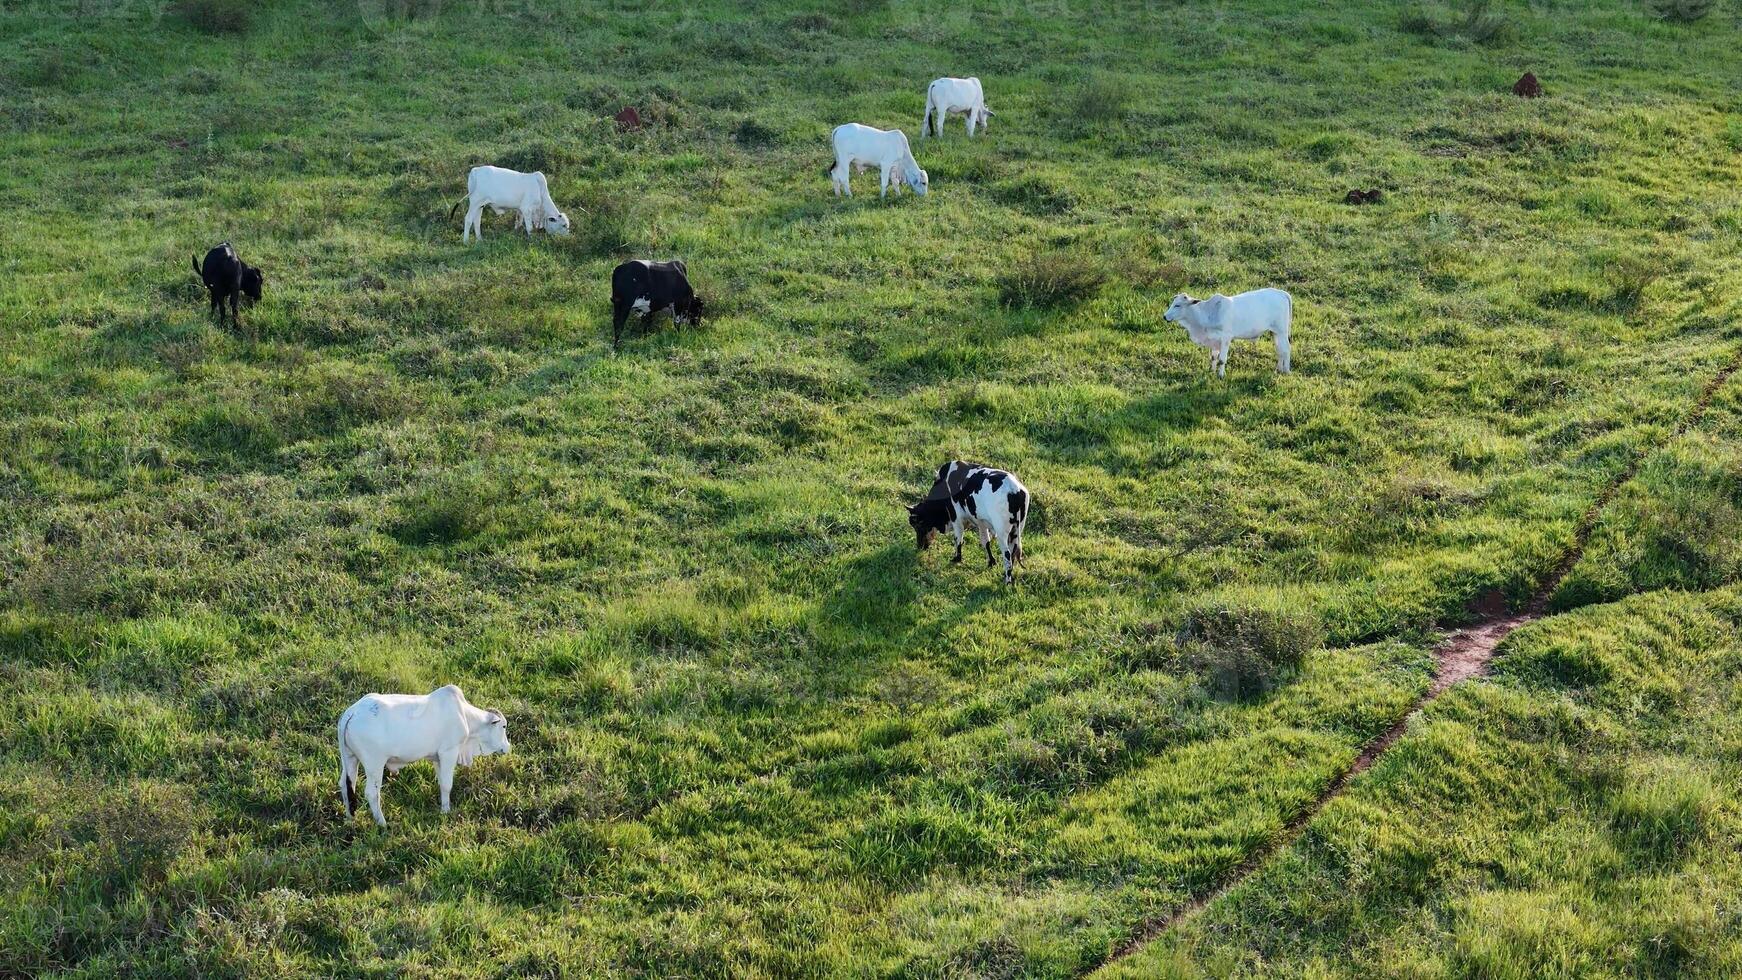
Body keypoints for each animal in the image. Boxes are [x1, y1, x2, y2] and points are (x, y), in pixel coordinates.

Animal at [334, 685, 508, 832]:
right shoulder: (449, 752)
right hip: (374, 764)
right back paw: (382, 823)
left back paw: (349, 819)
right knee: (371, 793)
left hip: (349, 758)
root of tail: (352, 712)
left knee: (346, 784)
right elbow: (447, 785)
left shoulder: (438, 758)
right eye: (504, 726)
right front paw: (446, 812)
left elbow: (441, 783)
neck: (465, 716)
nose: (507, 747)